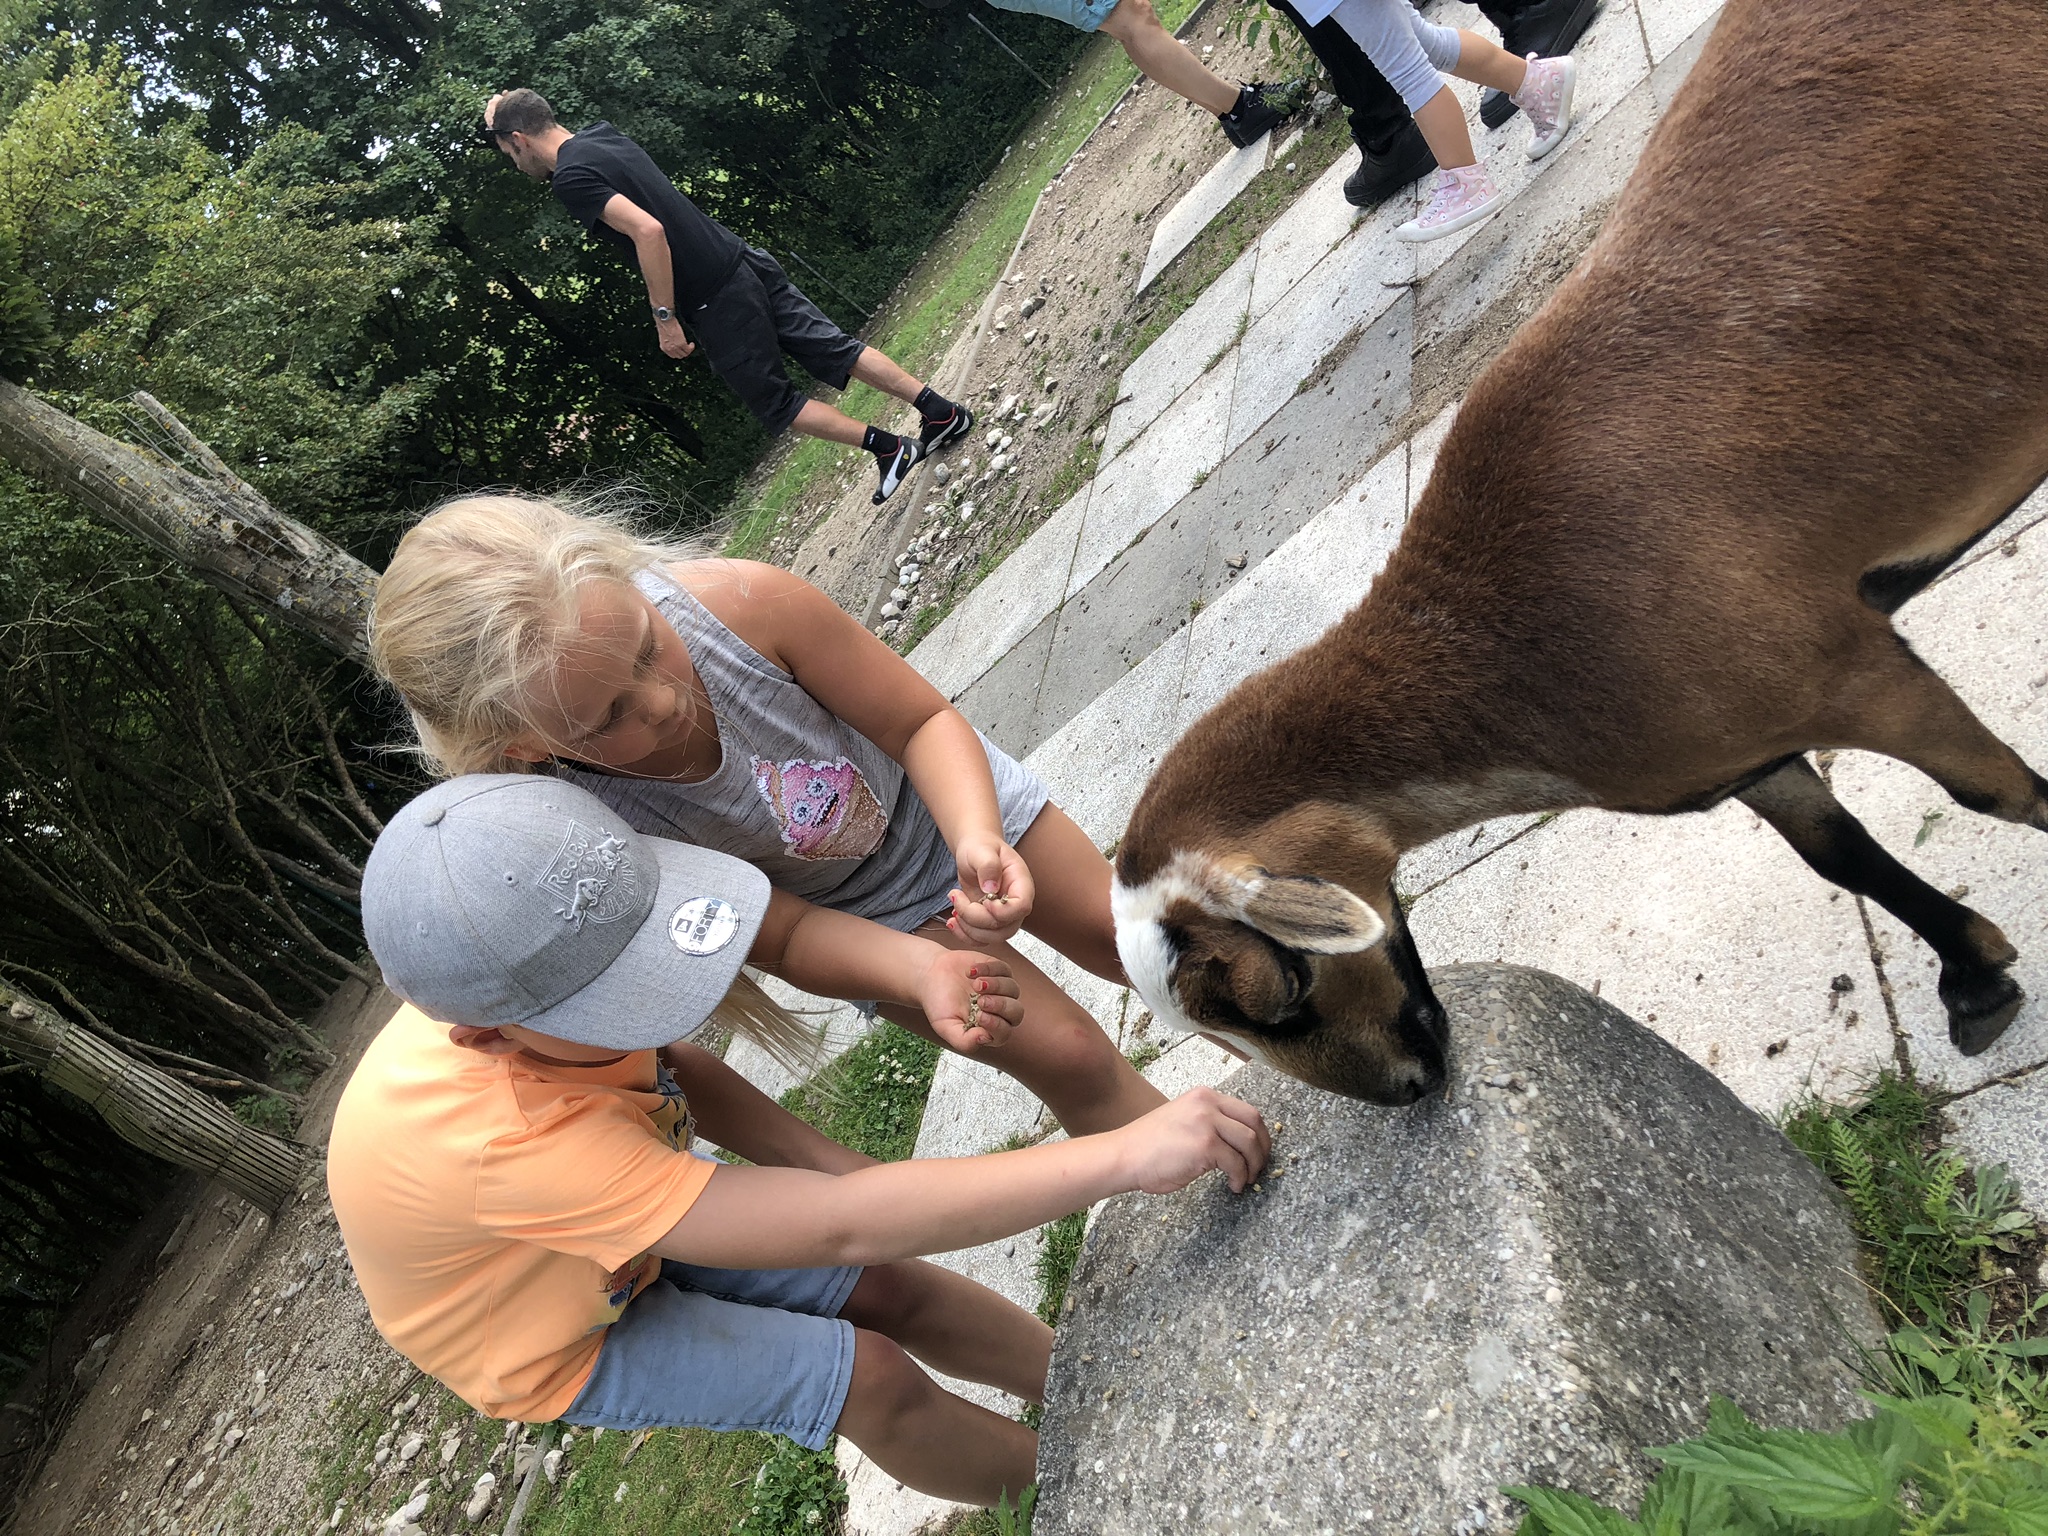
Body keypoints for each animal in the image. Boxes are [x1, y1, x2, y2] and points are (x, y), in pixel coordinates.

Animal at [1111, 0, 2048, 1104]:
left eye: (1280, 986)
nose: (1406, 1090)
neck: (1506, 655)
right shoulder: (1746, 741)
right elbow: (1838, 853)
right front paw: (1974, 978)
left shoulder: (1847, 664)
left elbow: (1993, 793)